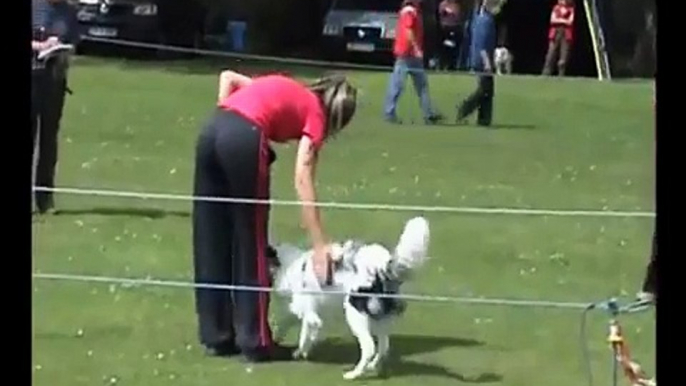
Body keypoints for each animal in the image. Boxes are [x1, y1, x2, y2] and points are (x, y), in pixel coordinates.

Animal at [272, 217, 430, 380]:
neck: (288, 265)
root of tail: (381, 272)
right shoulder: (312, 309)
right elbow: (305, 330)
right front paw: (299, 349)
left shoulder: (305, 305)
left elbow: (299, 325)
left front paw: (292, 344)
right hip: (379, 319)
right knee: (384, 346)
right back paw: (372, 365)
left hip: (355, 315)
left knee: (369, 347)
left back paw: (354, 373)